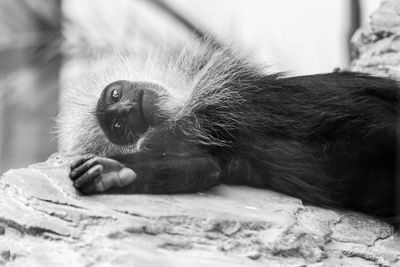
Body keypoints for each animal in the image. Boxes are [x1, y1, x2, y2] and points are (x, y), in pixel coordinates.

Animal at [58, 39, 396, 220]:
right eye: (118, 127)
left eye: (115, 95)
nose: (127, 109)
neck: (193, 113)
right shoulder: (182, 143)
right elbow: (206, 168)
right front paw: (109, 171)